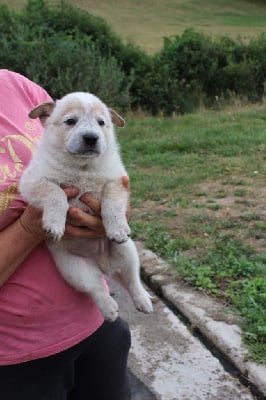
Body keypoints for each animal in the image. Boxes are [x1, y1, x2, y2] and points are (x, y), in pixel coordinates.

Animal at [19, 92, 153, 320]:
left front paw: (117, 228)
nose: (91, 137)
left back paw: (143, 300)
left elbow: (111, 203)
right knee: (95, 287)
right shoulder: (32, 182)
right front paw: (55, 224)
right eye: (70, 121)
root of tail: (103, 265)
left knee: (132, 279)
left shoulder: (116, 181)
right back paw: (109, 309)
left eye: (101, 123)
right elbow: (55, 193)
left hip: (128, 251)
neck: (83, 168)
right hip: (74, 269)